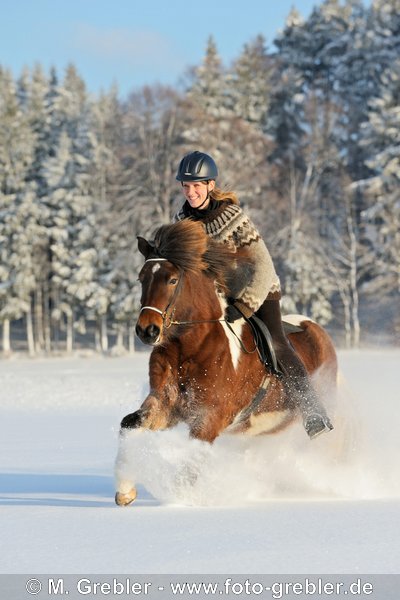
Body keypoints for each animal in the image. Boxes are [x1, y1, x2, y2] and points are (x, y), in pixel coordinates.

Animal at [115, 218, 338, 504]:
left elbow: (191, 461)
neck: (188, 349)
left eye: (172, 279)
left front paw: (180, 500)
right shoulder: (165, 405)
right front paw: (125, 491)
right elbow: (129, 424)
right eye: (142, 278)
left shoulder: (210, 418)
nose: (147, 330)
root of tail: (317, 330)